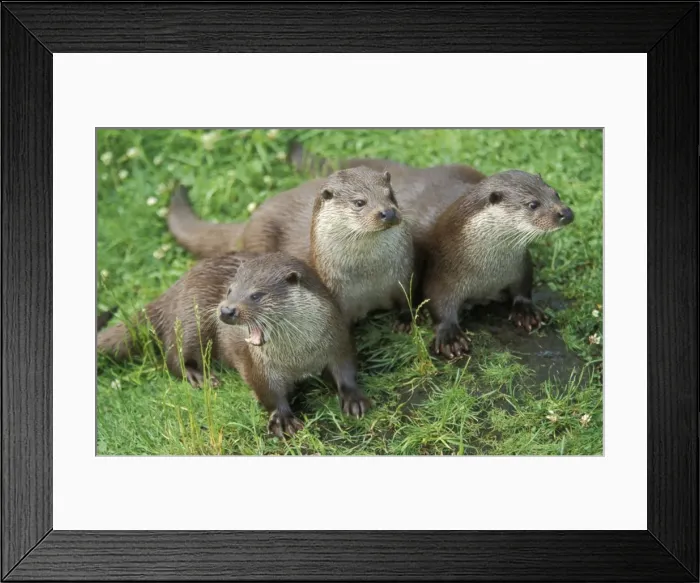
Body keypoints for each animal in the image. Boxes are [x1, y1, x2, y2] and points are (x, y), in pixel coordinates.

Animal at [97, 252, 370, 437]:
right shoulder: (259, 366)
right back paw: (200, 377)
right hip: (190, 320)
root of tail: (174, 289)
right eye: (229, 290)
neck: (299, 356)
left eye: (256, 295)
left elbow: (346, 370)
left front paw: (353, 399)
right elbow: (268, 392)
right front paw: (283, 419)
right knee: (175, 357)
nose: (226, 310)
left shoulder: (338, 340)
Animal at [168, 167, 415, 330]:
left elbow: (408, 300)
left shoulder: (403, 274)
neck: (369, 278)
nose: (388, 212)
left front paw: (405, 322)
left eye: (390, 195)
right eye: (359, 202)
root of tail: (249, 223)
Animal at [287, 143, 575, 359]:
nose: (566, 213)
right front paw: (449, 337)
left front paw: (526, 311)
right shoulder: (445, 270)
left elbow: (524, 287)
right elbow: (438, 301)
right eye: (532, 204)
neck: (489, 271)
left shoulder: (520, 264)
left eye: (555, 193)